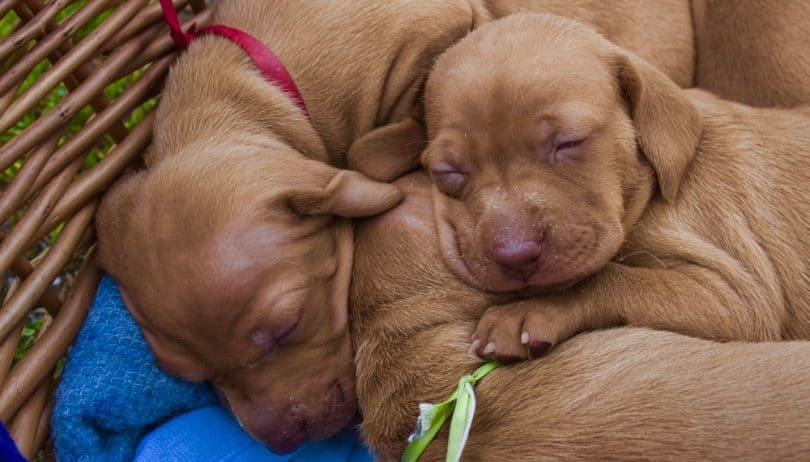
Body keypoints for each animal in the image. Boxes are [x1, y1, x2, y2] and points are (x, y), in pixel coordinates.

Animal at [416, 12, 808, 362]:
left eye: (569, 142)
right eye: (448, 171)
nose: (516, 254)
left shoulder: (734, 295)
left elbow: (609, 278)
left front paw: (526, 312)